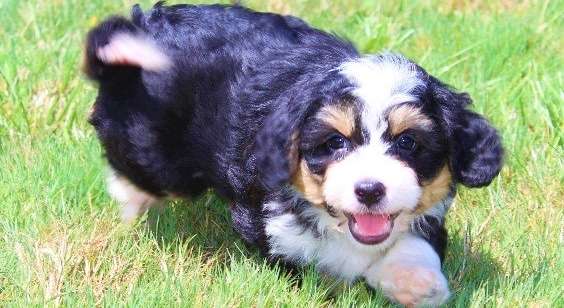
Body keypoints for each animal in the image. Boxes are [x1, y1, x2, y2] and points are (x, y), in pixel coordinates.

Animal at [85, 2, 502, 306]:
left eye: (408, 143)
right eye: (334, 143)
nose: (370, 190)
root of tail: (144, 24)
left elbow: (413, 242)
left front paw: (416, 282)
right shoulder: (265, 217)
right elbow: (316, 254)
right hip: (152, 142)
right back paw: (133, 199)